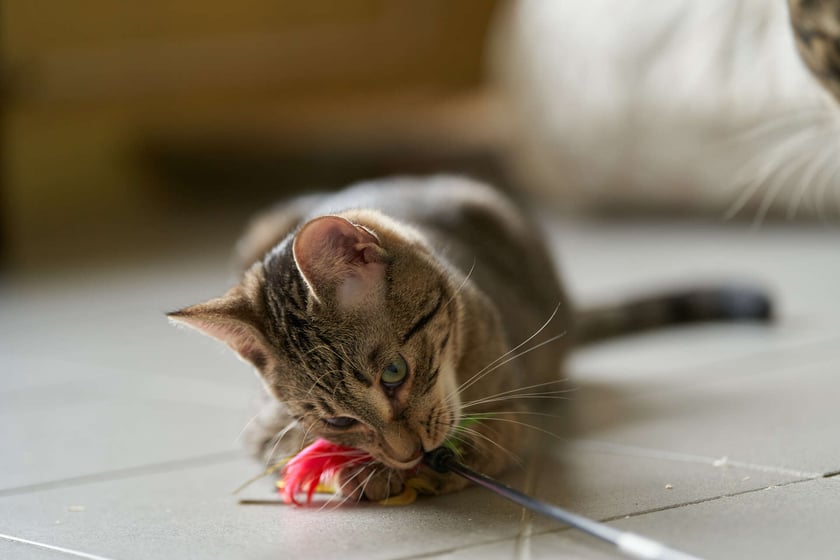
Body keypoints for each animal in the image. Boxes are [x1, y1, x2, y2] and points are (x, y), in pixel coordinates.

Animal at [167, 177, 772, 500]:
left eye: (395, 373)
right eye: (337, 421)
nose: (408, 454)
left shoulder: (513, 414)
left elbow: (485, 438)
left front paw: (399, 468)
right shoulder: (264, 429)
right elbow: (289, 441)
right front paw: (357, 467)